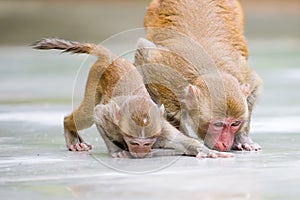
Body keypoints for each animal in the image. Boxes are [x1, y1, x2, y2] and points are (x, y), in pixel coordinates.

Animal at [33, 38, 234, 159]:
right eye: (135, 143)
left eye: (147, 142)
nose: (141, 151)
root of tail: (112, 58)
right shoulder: (110, 119)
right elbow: (98, 114)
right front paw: (116, 151)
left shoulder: (161, 129)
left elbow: (184, 142)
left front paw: (205, 151)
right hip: (94, 78)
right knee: (87, 114)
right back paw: (69, 127)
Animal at [134, 0, 262, 152]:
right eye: (218, 124)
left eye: (235, 123)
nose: (225, 143)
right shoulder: (165, 73)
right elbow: (144, 55)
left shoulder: (242, 74)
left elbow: (253, 87)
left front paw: (242, 138)